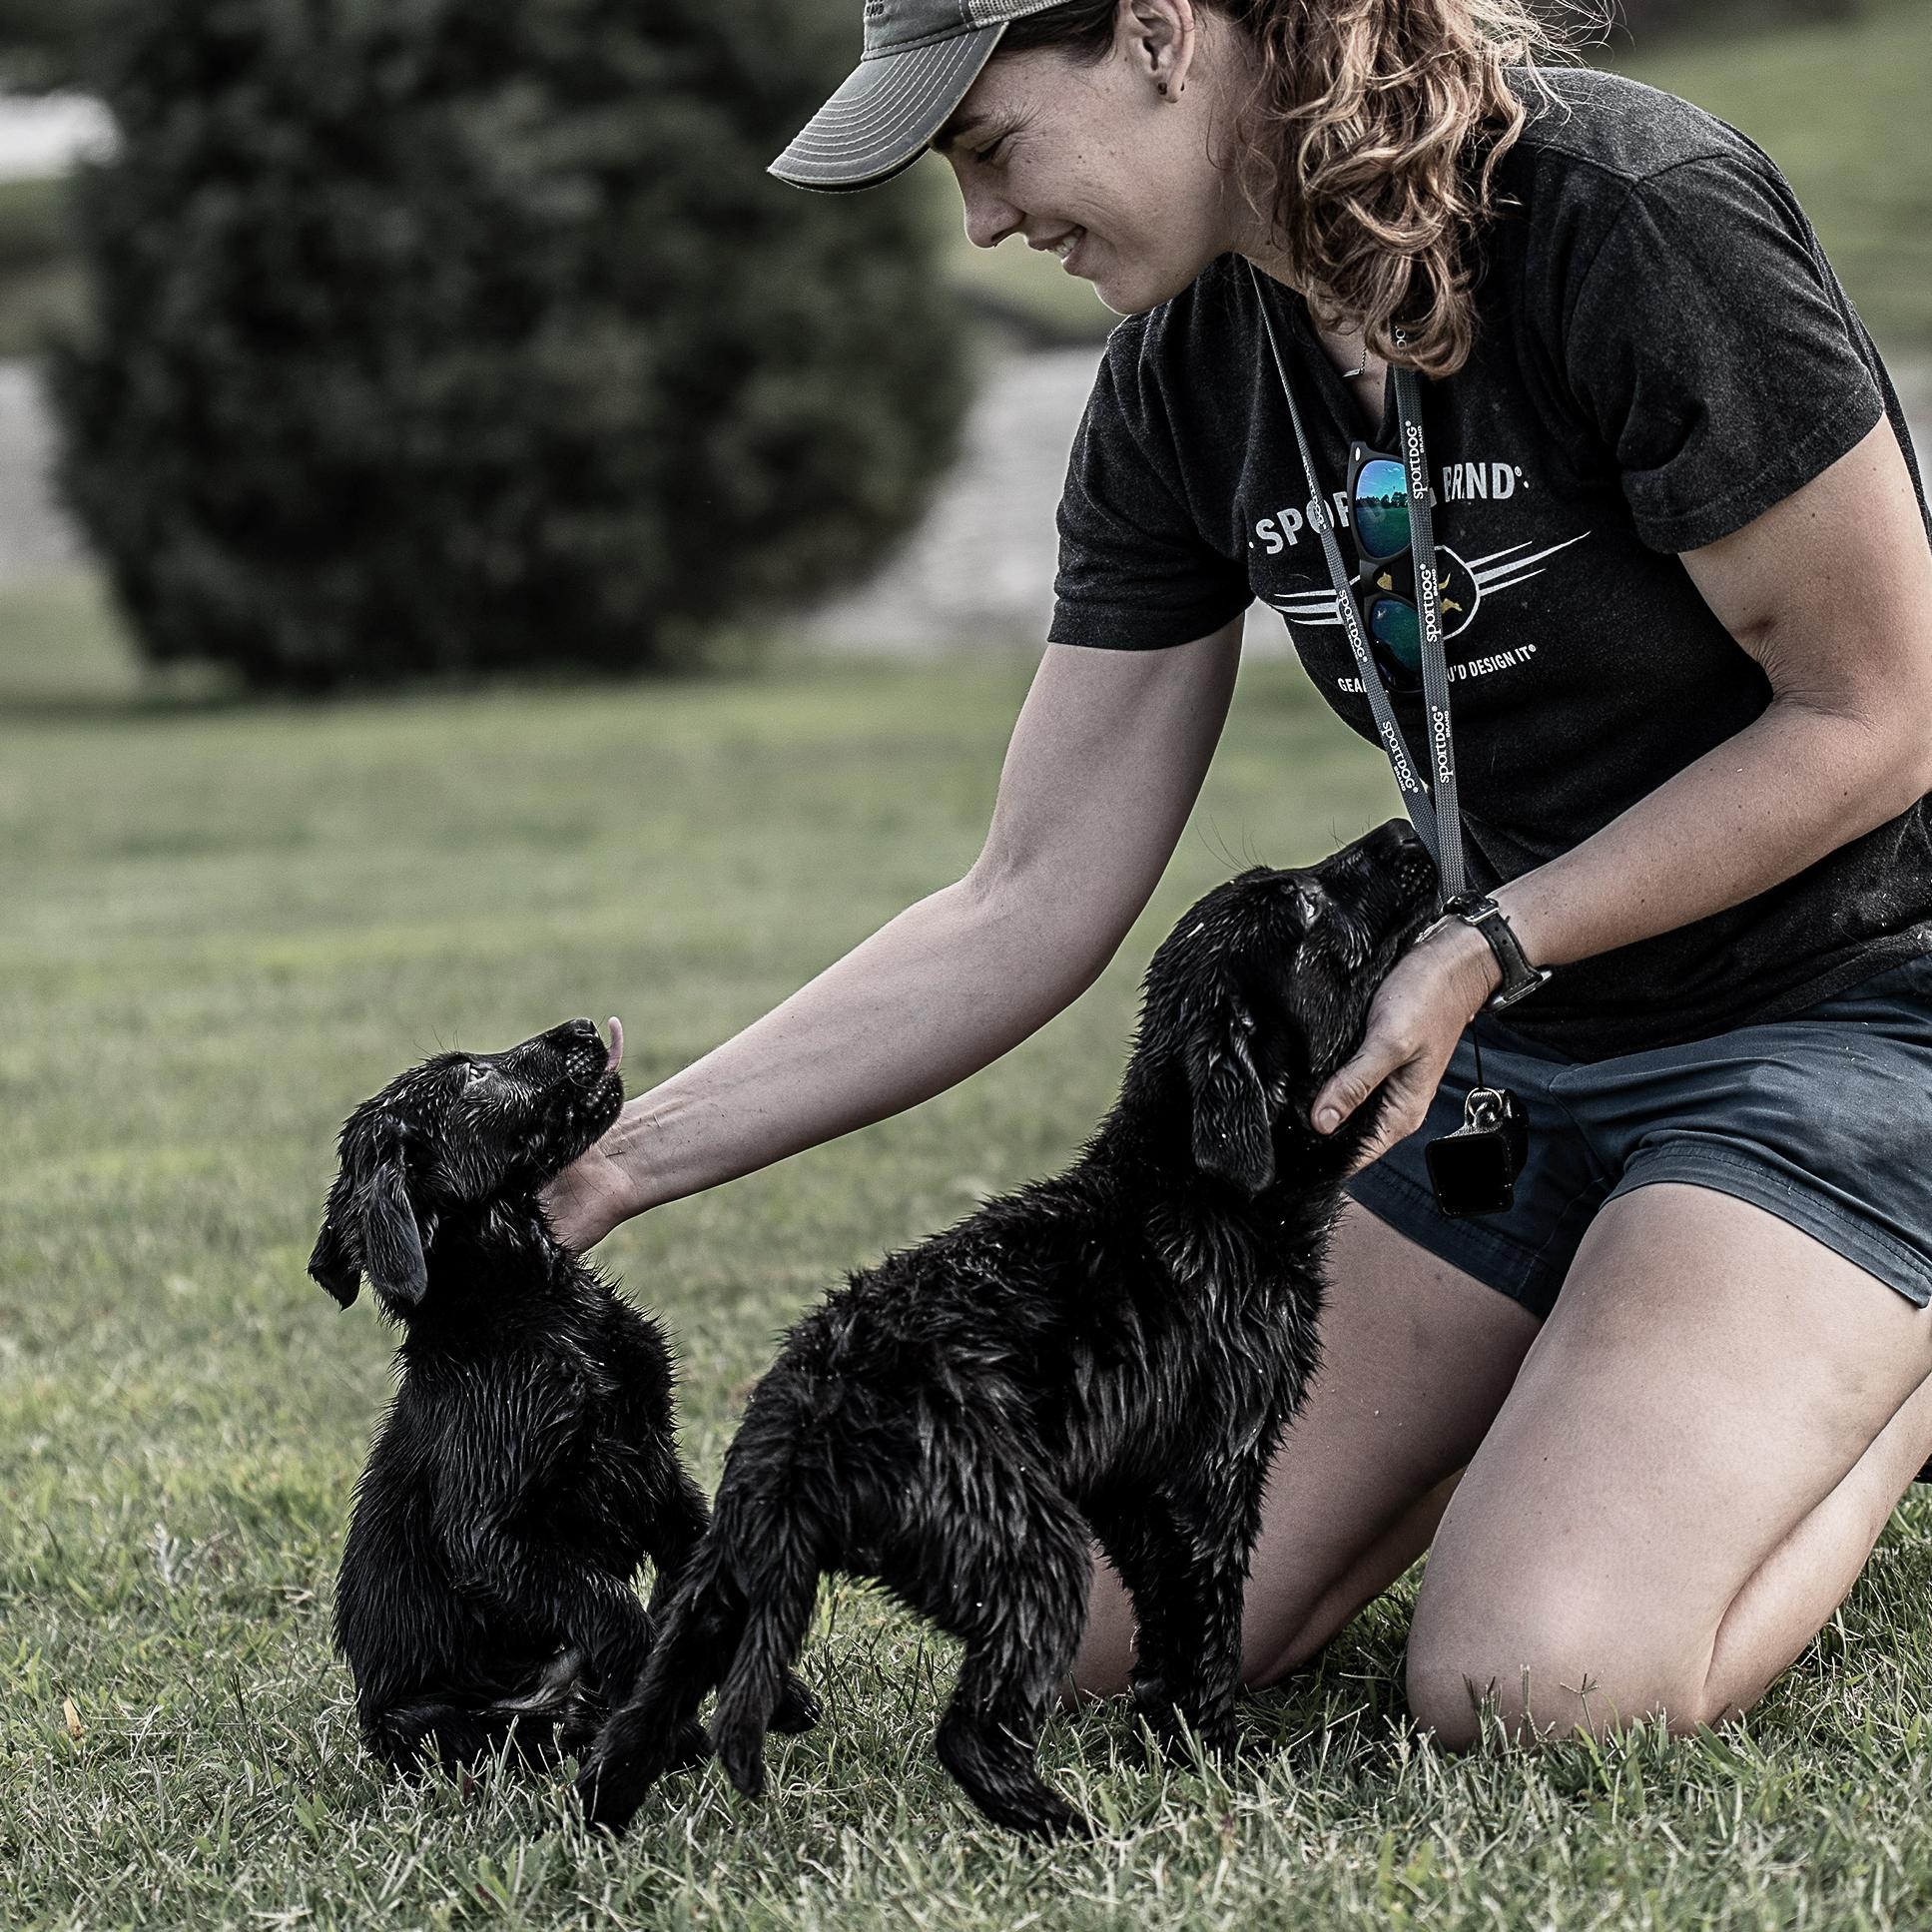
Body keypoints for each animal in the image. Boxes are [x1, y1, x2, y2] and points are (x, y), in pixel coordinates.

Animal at [307, 1019, 815, 1769]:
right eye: (472, 1078)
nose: (581, 1026)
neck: (537, 1306)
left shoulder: (657, 1470)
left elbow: (708, 1576)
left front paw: (775, 1693)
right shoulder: (489, 1530)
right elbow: (611, 1606)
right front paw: (666, 1718)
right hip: (421, 1721)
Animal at [579, 819, 1445, 1839]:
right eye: (1308, 909)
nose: (1404, 830)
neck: (1202, 1191)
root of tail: (808, 1429)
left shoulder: (1134, 1491)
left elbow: (1165, 1632)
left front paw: (1167, 1741)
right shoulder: (1211, 1472)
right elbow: (1209, 1631)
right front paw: (1221, 1753)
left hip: (720, 1577)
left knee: (635, 1723)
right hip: (1034, 1553)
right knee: (970, 1734)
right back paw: (1073, 1828)